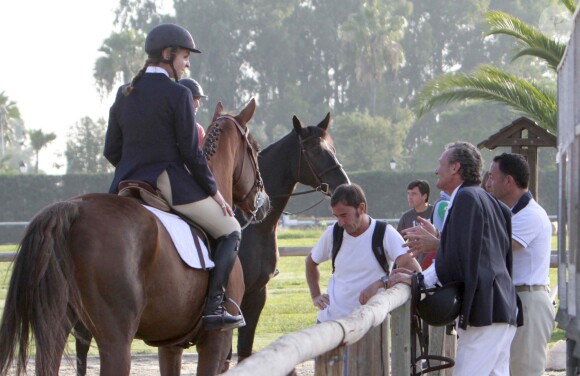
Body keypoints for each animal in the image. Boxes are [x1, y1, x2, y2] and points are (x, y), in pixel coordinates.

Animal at [0, 98, 270, 374]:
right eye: (256, 149)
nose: (264, 203)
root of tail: (75, 207)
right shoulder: (216, 342)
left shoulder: (170, 344)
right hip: (116, 338)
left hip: (58, 323)